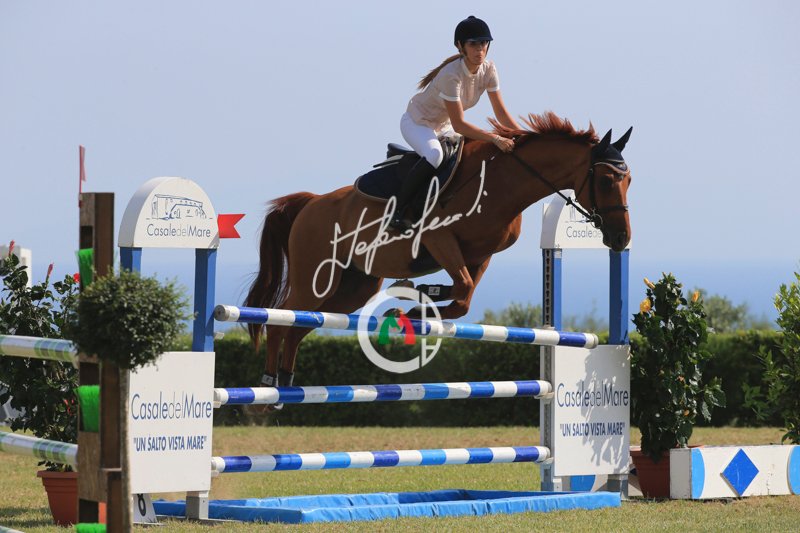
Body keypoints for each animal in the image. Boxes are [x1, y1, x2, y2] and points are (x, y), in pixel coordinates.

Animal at [245, 112, 633, 388]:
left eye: (628, 179)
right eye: (605, 180)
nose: (621, 239)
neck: (502, 182)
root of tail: (311, 203)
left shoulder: (480, 255)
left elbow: (463, 299)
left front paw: (417, 304)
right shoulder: (439, 240)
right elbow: (461, 289)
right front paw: (417, 300)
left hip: (353, 287)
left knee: (299, 325)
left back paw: (286, 381)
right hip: (315, 278)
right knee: (281, 318)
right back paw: (267, 386)